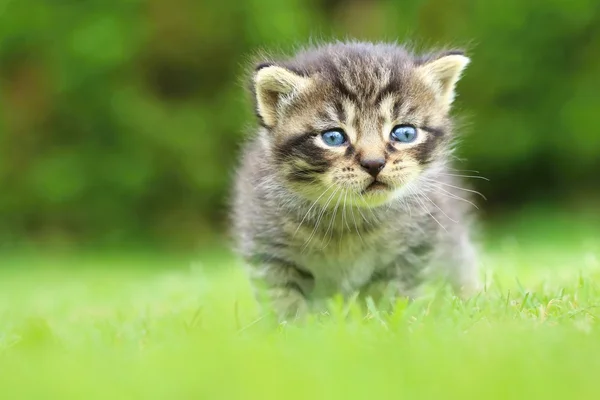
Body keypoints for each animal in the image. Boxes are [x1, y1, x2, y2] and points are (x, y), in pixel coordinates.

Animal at [232, 41, 480, 322]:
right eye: (333, 137)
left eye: (404, 133)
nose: (374, 163)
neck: (347, 218)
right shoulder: (268, 248)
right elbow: (283, 296)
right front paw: (293, 326)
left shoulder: (413, 248)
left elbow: (390, 293)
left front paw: (384, 321)